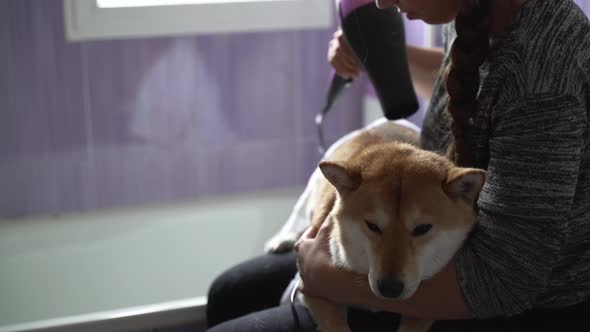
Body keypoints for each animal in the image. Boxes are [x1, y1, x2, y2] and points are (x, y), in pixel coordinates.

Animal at [268, 120, 486, 332]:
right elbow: (335, 324)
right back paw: (282, 239)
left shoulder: (431, 307)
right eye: (372, 226)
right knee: (299, 213)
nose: (389, 288)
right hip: (312, 187)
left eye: (423, 228)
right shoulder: (313, 289)